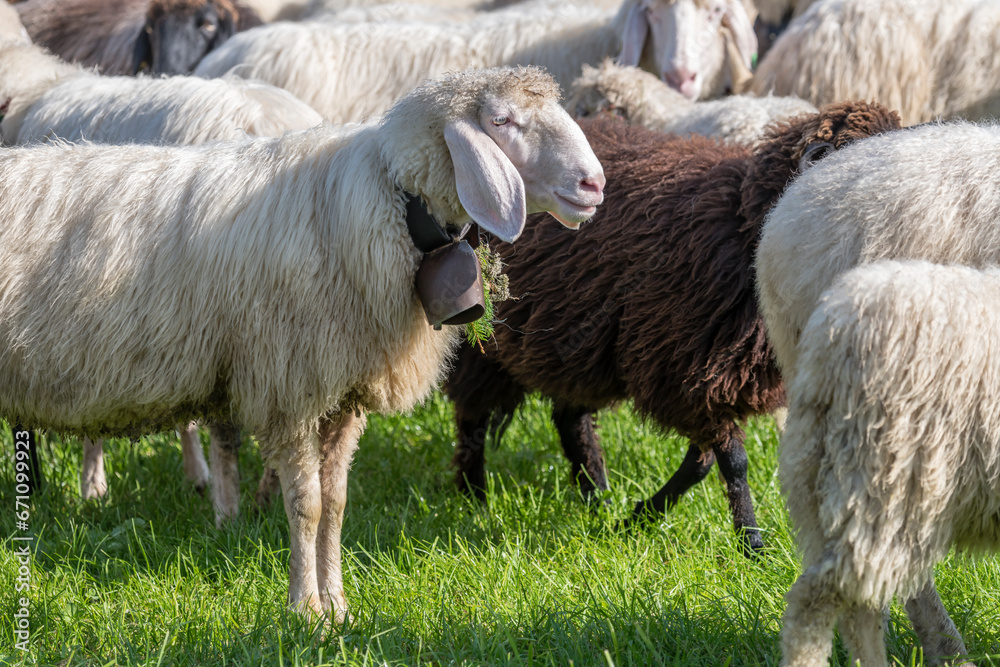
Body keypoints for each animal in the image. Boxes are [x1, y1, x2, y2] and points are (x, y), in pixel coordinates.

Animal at [0, 66, 605, 618]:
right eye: (501, 121)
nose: (594, 184)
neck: (382, 201)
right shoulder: (289, 385)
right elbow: (306, 503)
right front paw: (304, 611)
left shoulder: (342, 391)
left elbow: (335, 502)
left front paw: (337, 604)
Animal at [443, 100, 899, 555]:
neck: (743, 224)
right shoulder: (688, 370)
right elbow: (731, 462)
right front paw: (751, 543)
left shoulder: (706, 376)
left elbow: (700, 462)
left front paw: (640, 516)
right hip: (483, 336)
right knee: (473, 416)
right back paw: (473, 497)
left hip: (576, 338)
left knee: (569, 418)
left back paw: (596, 497)